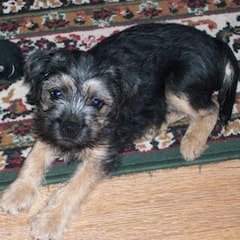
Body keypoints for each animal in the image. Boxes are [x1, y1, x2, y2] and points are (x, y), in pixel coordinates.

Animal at [0, 23, 239, 240]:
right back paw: (153, 126)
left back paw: (191, 142)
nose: (70, 129)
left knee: (210, 108)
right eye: (56, 93)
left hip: (178, 85)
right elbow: (33, 158)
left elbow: (74, 187)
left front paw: (49, 221)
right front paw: (16, 193)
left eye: (97, 102)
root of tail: (215, 43)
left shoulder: (101, 156)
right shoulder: (48, 128)